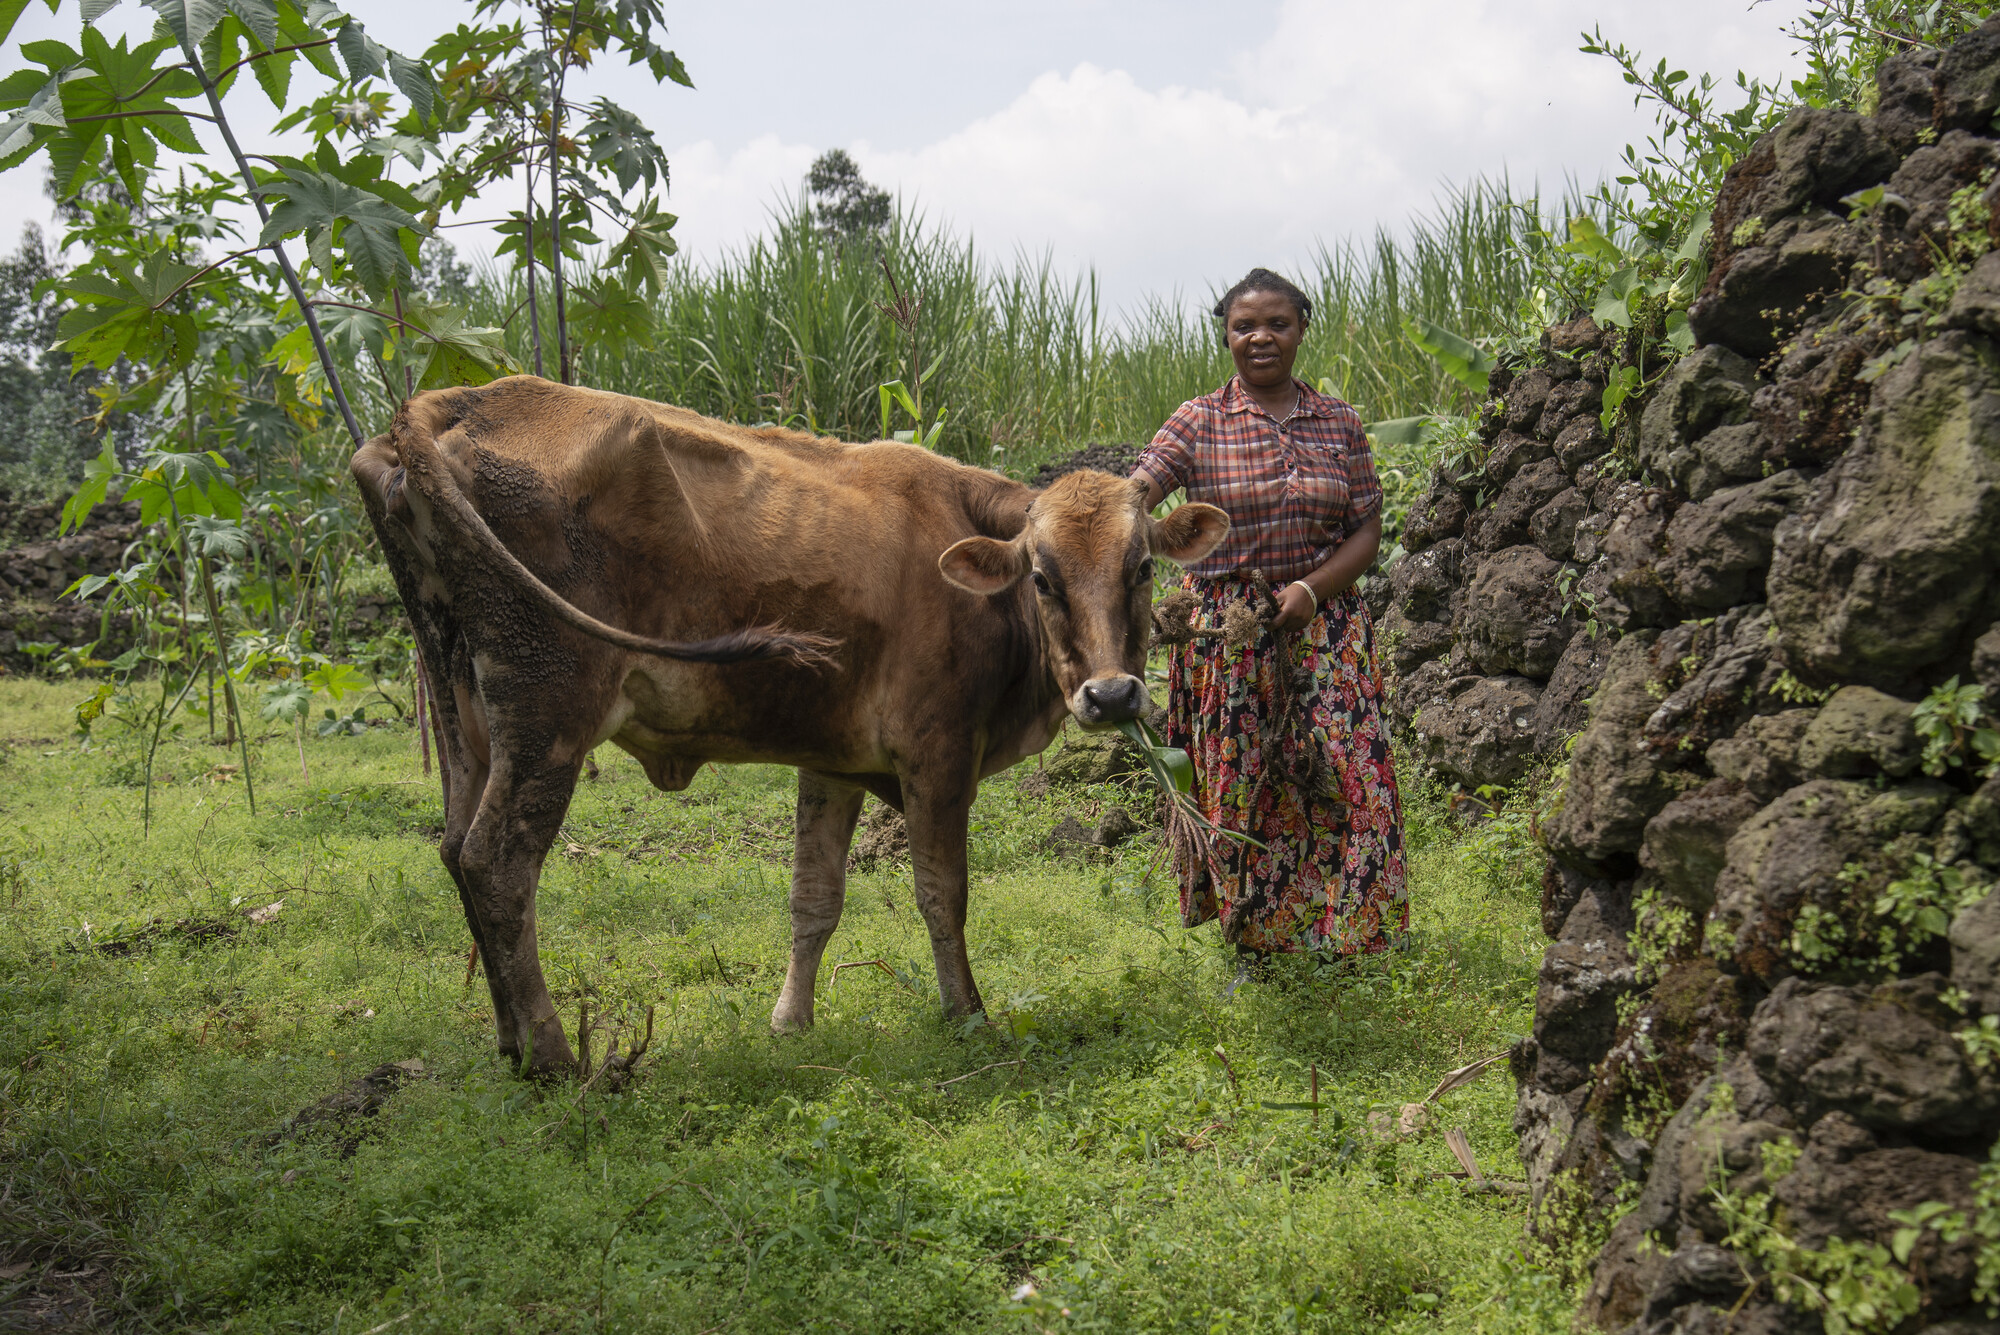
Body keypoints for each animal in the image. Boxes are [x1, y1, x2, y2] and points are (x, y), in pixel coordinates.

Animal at [356, 373, 1232, 1071]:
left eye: (1142, 566)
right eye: (1043, 577)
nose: (1113, 697)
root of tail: (450, 403)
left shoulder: (834, 760)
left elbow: (814, 899)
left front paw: (790, 1022)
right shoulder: (937, 754)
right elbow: (941, 894)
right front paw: (969, 1016)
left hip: (462, 710)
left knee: (452, 847)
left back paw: (508, 1042)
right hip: (548, 712)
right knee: (496, 862)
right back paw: (550, 1058)